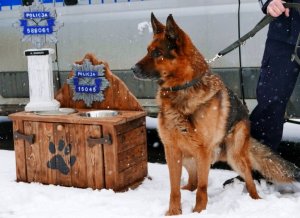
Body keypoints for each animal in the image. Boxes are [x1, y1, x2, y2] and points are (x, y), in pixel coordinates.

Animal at [132, 14, 300, 216]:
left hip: (234, 157)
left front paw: (198, 211)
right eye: (148, 51)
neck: (183, 89)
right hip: (187, 158)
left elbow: (202, 189)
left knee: (249, 179)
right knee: (192, 182)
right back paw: (187, 189)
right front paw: (173, 212)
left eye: (157, 53)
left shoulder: (203, 151)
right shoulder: (171, 150)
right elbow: (174, 189)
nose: (133, 69)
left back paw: (256, 201)